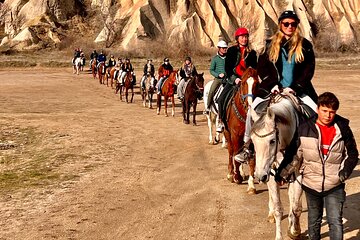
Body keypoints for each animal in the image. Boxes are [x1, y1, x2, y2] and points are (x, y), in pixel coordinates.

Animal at [222, 66, 258, 194]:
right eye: (242, 83)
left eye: (257, 83)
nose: (250, 105)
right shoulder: (235, 135)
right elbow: (235, 155)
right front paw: (236, 177)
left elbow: (252, 160)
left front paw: (251, 185)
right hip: (227, 133)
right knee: (231, 152)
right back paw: (231, 174)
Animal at [250, 93, 304, 240]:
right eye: (253, 141)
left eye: (272, 140)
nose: (259, 175)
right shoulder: (271, 173)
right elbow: (278, 209)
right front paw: (279, 235)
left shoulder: (299, 173)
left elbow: (296, 207)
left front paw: (295, 230)